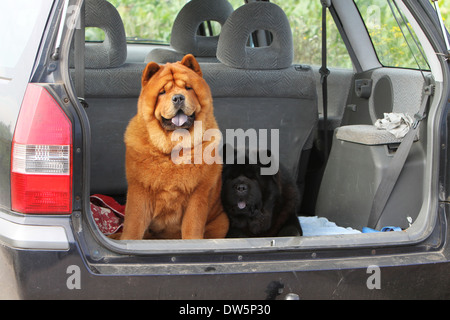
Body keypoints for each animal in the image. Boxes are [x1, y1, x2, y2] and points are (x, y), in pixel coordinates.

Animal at [119, 55, 229, 240]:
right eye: (162, 92)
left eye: (188, 88)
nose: (178, 97)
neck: (174, 146)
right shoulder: (139, 190)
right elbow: (132, 228)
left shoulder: (198, 194)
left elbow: (192, 227)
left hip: (222, 221)